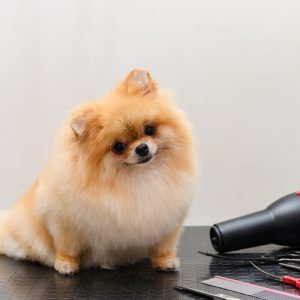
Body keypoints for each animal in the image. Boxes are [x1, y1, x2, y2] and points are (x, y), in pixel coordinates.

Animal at [0, 69, 198, 274]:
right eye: (118, 147)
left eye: (150, 130)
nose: (142, 148)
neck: (139, 176)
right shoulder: (63, 224)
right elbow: (66, 247)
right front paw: (66, 264)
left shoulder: (169, 222)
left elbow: (164, 246)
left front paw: (166, 261)